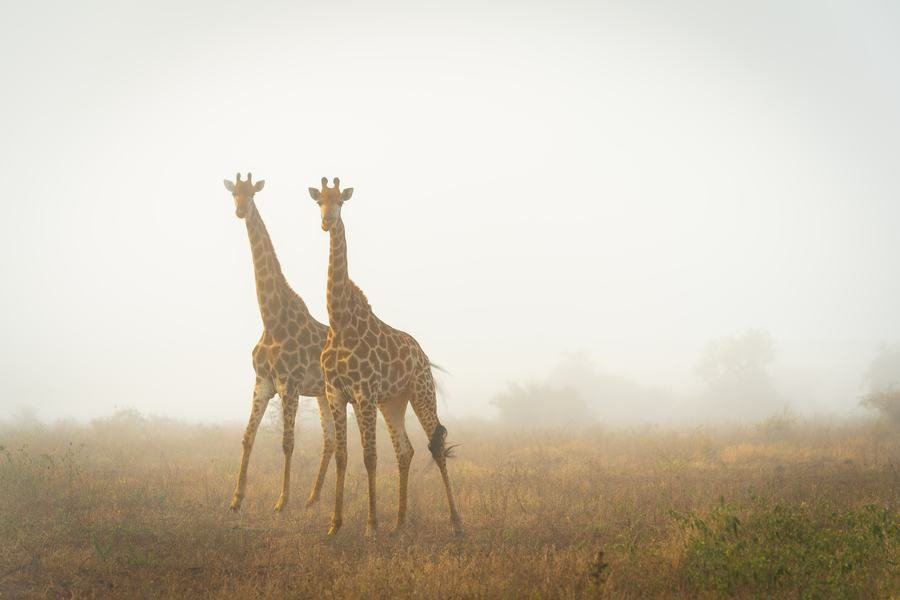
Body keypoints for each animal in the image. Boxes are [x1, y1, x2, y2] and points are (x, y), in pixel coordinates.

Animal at [223, 172, 334, 512]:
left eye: (252, 194)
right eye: (233, 193)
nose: (240, 211)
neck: (271, 321)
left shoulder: (290, 383)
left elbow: (288, 442)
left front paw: (282, 501)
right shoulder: (262, 382)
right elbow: (247, 437)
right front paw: (236, 499)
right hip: (323, 395)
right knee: (331, 441)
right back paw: (313, 499)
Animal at [308, 176, 463, 536]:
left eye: (341, 201)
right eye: (319, 201)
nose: (326, 222)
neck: (340, 321)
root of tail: (423, 356)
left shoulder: (364, 393)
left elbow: (369, 457)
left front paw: (370, 525)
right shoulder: (337, 393)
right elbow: (343, 456)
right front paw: (335, 525)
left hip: (420, 393)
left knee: (435, 448)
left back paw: (456, 522)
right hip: (392, 401)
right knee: (405, 450)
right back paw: (400, 523)